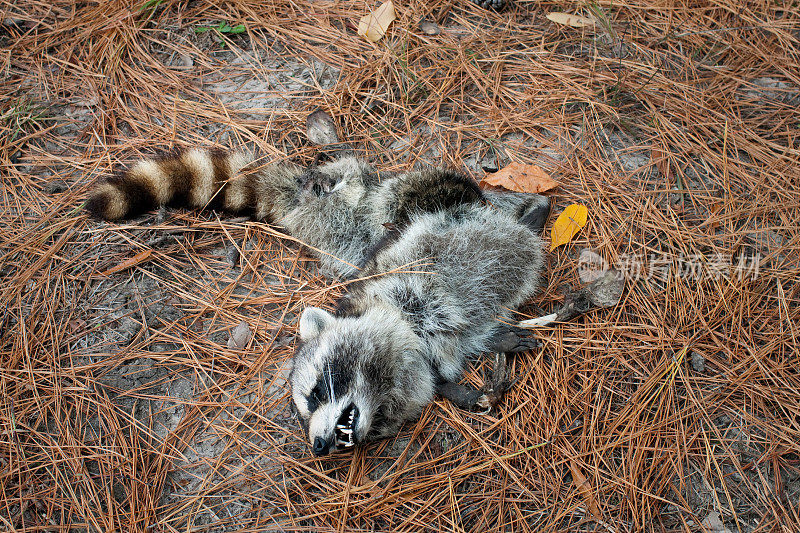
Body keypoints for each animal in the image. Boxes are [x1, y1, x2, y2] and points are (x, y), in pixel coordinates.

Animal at [87, 148, 552, 456]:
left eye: (314, 395)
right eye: (304, 412)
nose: (319, 445)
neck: (406, 339)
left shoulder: (378, 278)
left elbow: (386, 253)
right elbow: (448, 374)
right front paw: (470, 387)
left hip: (411, 194)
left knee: (436, 194)